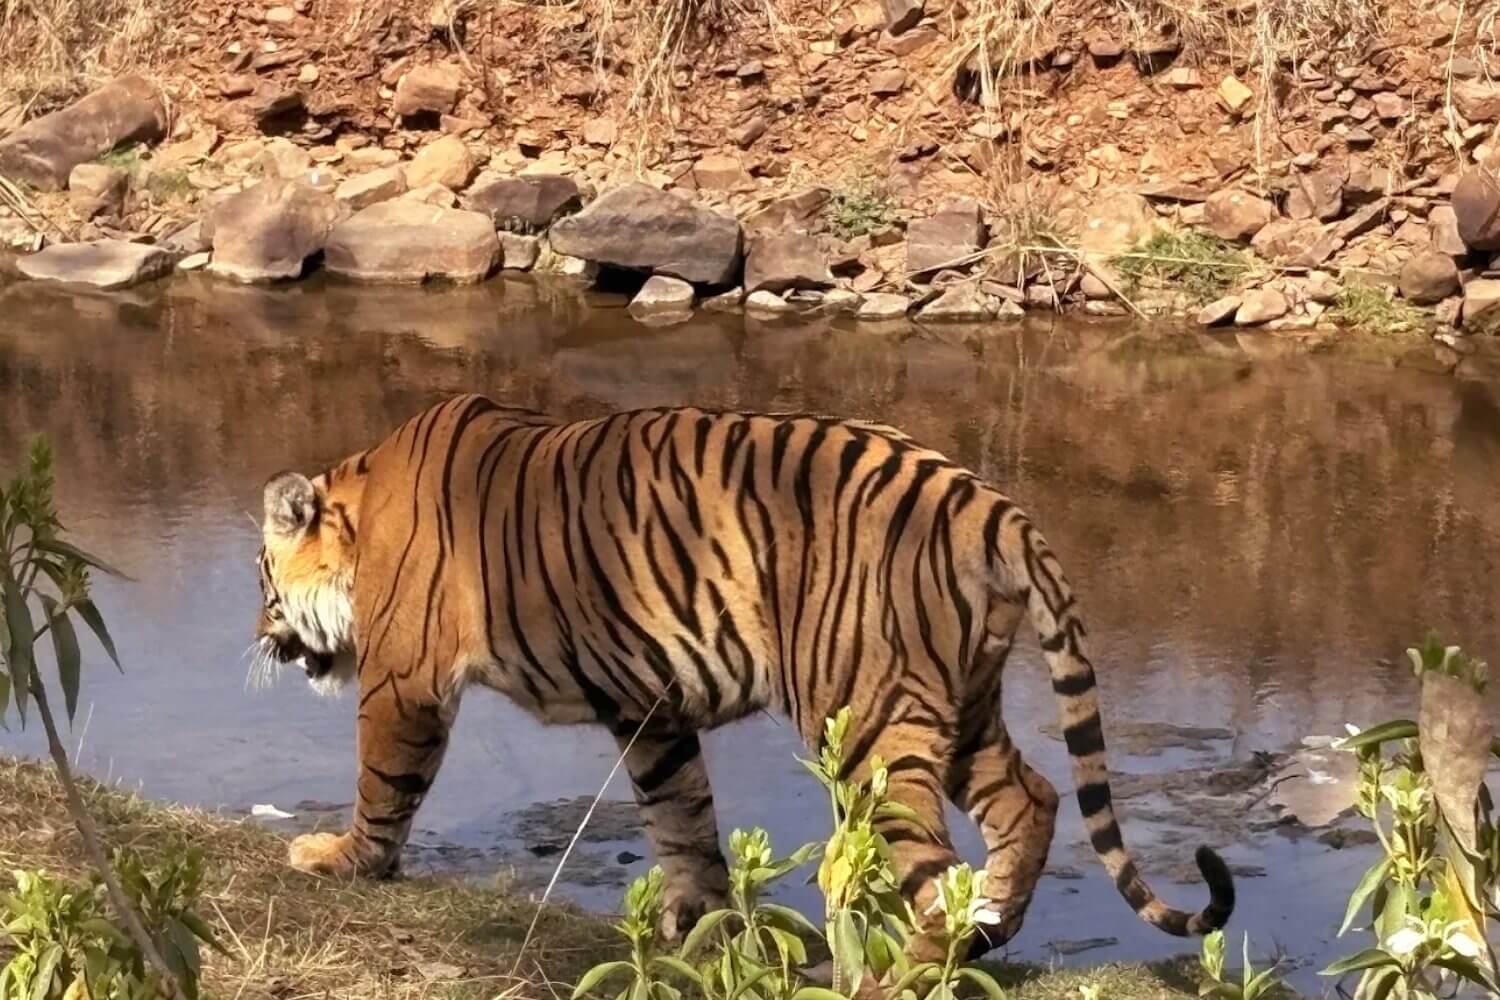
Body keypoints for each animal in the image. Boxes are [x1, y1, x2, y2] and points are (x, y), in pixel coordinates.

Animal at [253, 393, 1234, 955]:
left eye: (263, 581)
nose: (261, 638)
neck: (362, 501)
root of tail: (984, 500)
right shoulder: (646, 706)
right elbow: (680, 811)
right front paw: (698, 915)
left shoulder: (404, 683)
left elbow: (384, 784)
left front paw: (340, 859)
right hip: (959, 699)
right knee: (1031, 797)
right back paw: (992, 927)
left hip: (868, 718)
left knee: (926, 872)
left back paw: (911, 971)